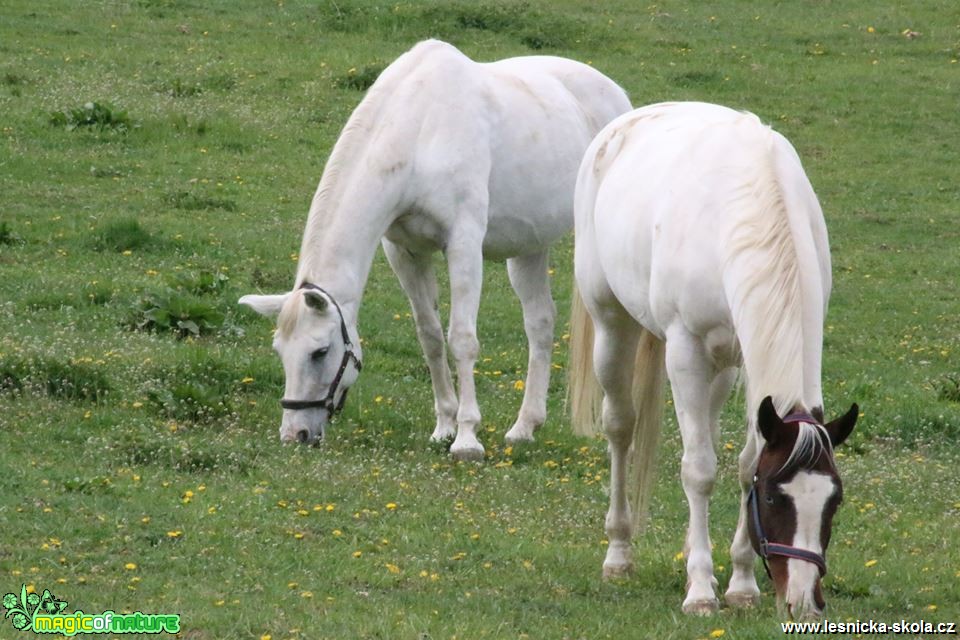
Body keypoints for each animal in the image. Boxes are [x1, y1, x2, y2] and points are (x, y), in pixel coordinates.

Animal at [238, 38, 632, 460]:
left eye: (320, 351)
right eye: (280, 351)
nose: (295, 434)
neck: (420, 132)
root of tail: (618, 99)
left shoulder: (463, 245)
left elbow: (462, 339)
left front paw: (467, 438)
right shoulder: (404, 252)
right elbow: (430, 337)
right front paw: (444, 426)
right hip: (529, 246)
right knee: (540, 323)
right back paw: (524, 427)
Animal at [568, 104, 864, 620]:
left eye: (835, 500)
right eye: (774, 498)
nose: (804, 601)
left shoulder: (749, 361)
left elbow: (744, 463)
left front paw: (741, 583)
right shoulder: (685, 350)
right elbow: (699, 470)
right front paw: (702, 592)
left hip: (722, 365)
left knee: (701, 422)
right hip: (612, 325)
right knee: (621, 427)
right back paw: (619, 554)